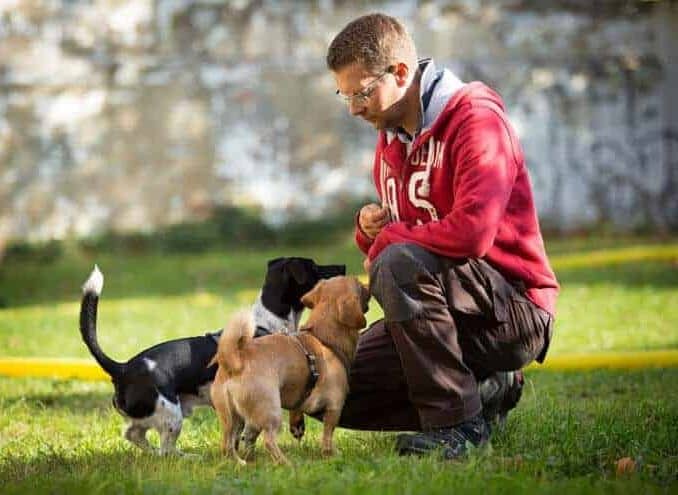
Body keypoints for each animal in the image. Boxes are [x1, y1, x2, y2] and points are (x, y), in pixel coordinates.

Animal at [79, 258, 346, 456]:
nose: (343, 267)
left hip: (149, 416)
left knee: (133, 434)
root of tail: (122, 368)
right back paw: (186, 457)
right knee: (165, 450)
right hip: (171, 415)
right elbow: (253, 430)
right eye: (314, 268)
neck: (267, 323)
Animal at [212, 276, 372, 464]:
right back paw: (285, 463)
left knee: (230, 443)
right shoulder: (334, 407)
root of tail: (235, 360)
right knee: (267, 440)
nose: (369, 285)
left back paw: (243, 462)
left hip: (232, 417)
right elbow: (327, 435)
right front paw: (330, 455)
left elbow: (292, 413)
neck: (324, 339)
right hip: (271, 410)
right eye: (361, 286)